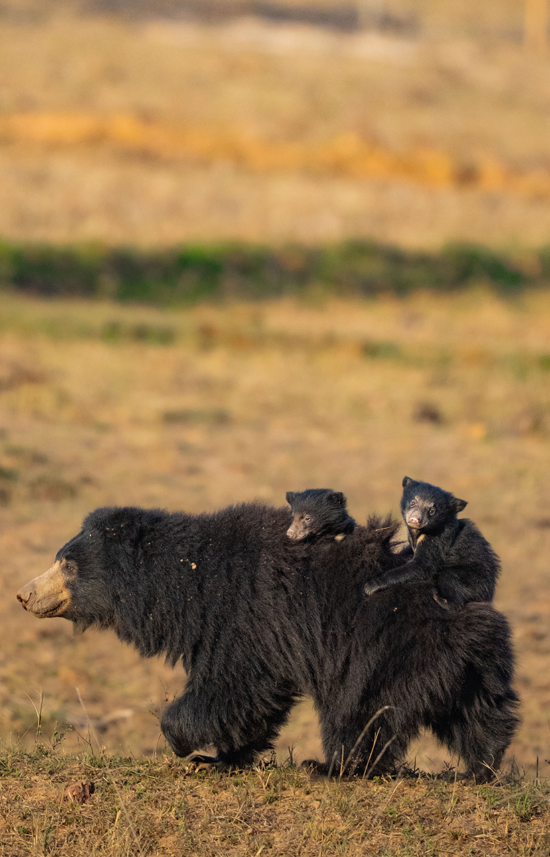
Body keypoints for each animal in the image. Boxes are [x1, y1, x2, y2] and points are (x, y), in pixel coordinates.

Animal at [14, 498, 520, 780]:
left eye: (67, 565)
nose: (23, 594)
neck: (186, 581)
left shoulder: (244, 618)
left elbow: (235, 686)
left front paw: (183, 744)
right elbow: (250, 702)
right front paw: (220, 759)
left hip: (384, 653)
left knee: (359, 712)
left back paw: (334, 768)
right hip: (465, 671)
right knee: (479, 717)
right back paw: (482, 769)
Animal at [364, 474, 502, 608]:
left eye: (432, 511)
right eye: (413, 502)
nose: (415, 520)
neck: (419, 532)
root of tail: (489, 592)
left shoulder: (437, 539)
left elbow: (421, 566)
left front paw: (370, 586)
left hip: (472, 577)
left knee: (450, 579)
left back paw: (441, 600)